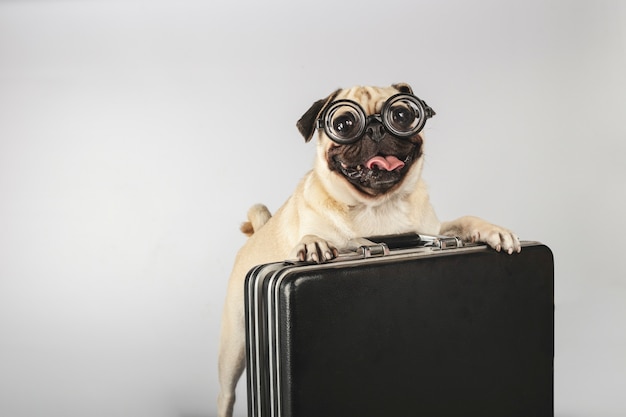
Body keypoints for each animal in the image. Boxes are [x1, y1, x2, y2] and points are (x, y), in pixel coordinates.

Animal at [217, 82, 520, 416]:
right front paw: (313, 242)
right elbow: (320, 236)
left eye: (401, 115)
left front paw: (493, 230)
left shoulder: (433, 230)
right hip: (234, 347)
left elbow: (462, 220)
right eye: (343, 124)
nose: (376, 128)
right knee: (226, 395)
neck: (377, 207)